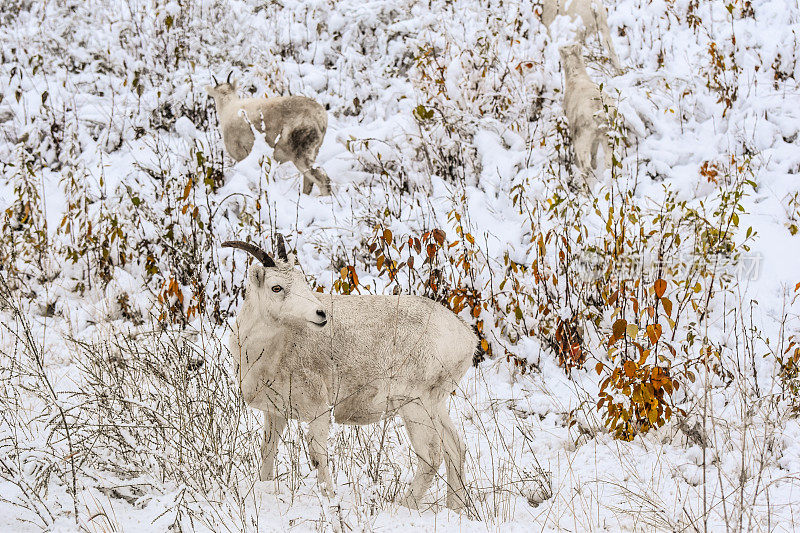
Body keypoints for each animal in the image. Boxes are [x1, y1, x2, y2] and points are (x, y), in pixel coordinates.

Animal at [222, 235, 478, 510]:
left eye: (302, 282)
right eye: (276, 287)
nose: (321, 314)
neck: (268, 351)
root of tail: (467, 336)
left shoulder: (319, 412)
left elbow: (318, 456)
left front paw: (330, 499)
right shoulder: (275, 412)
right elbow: (268, 451)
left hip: (415, 405)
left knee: (431, 454)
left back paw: (402, 505)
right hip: (435, 404)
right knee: (455, 448)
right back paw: (455, 507)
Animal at [560, 43, 616, 185]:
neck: (576, 77)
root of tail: (599, 111)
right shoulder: (596, 139)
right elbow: (594, 152)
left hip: (582, 139)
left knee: (586, 167)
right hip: (609, 137)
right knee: (609, 164)